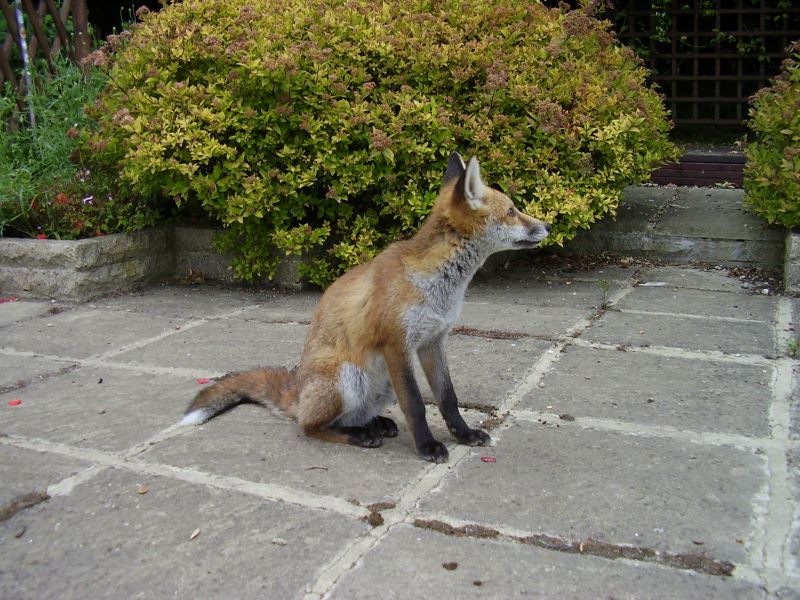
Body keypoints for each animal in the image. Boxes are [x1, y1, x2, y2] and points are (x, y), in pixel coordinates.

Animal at [180, 152, 552, 462]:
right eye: (512, 211)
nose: (548, 225)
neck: (437, 285)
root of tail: (296, 391)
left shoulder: (433, 341)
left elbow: (447, 398)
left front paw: (464, 434)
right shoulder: (397, 344)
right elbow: (416, 404)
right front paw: (427, 447)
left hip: (381, 384)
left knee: (352, 416)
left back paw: (375, 424)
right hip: (348, 377)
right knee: (310, 426)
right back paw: (359, 435)